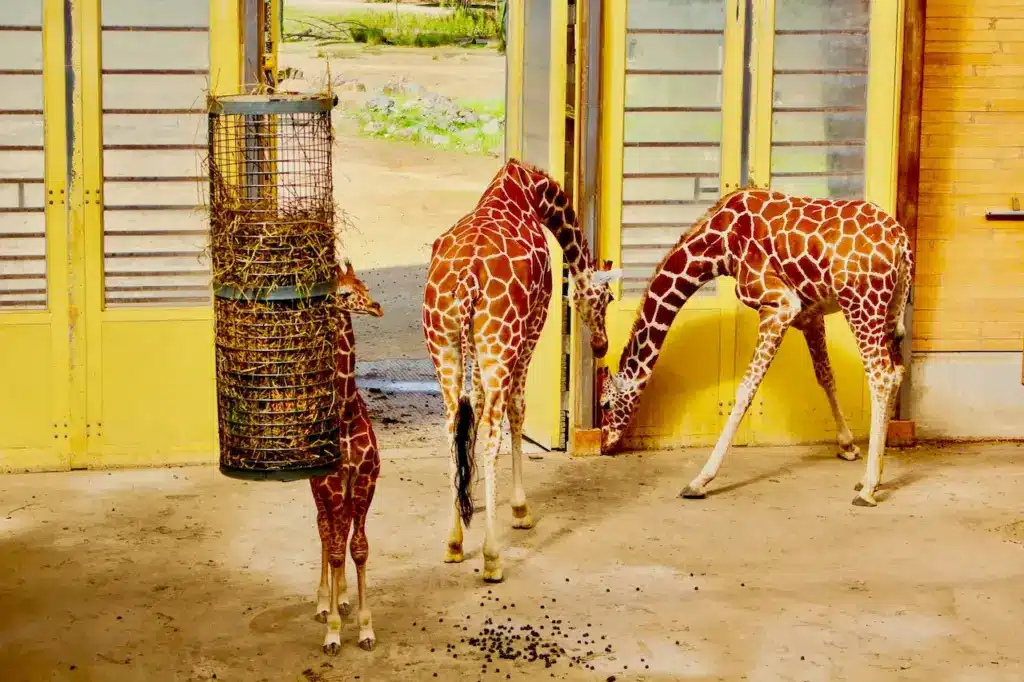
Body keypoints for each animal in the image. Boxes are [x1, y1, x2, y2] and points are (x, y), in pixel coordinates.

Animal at [421, 157, 618, 577]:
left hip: (445, 346)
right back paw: (492, 557)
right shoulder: (532, 331)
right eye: (607, 297)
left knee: (452, 424)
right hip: (501, 343)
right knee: (494, 429)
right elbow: (518, 411)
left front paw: (471, 497)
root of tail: (468, 282)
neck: (529, 192)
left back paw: (454, 542)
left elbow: (474, 410)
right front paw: (519, 509)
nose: (601, 345)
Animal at [598, 186, 913, 503]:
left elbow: (745, 391)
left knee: (881, 376)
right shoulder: (808, 314)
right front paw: (848, 446)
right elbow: (825, 375)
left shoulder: (780, 304)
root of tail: (902, 243)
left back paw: (869, 487)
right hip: (890, 309)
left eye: (606, 404)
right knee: (897, 371)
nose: (605, 444)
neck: (720, 243)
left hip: (861, 304)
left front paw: (700, 481)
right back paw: (875, 477)